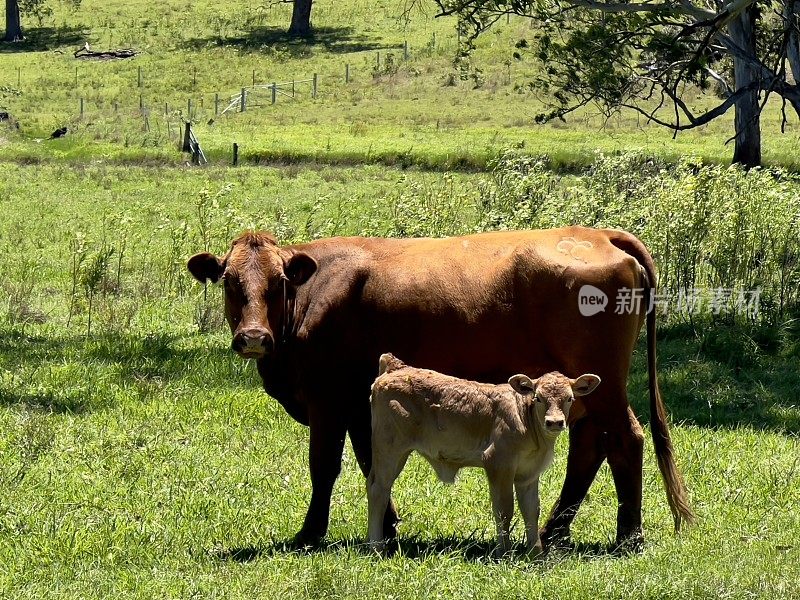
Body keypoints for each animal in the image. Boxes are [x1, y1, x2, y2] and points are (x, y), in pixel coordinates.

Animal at [368, 354, 600, 556]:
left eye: (569, 398)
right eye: (538, 398)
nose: (554, 422)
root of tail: (396, 367)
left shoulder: (528, 473)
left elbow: (531, 511)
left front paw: (536, 554)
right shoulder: (498, 463)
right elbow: (504, 510)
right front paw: (504, 553)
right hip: (389, 449)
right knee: (378, 489)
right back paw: (376, 547)